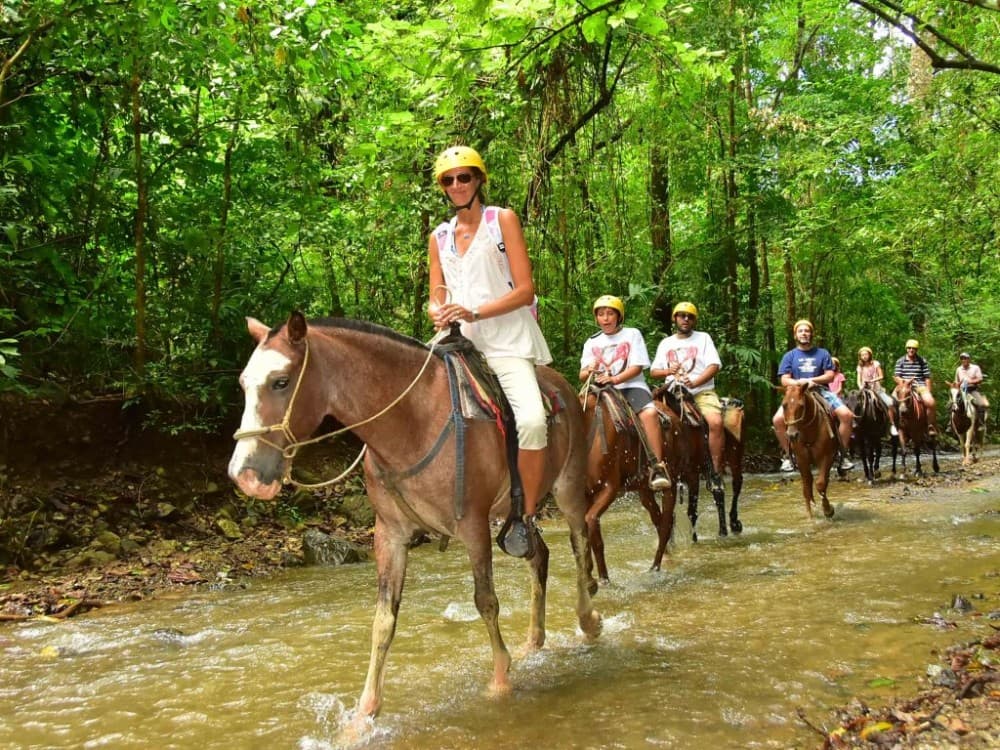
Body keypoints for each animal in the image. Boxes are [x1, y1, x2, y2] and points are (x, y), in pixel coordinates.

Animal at [228, 313, 601, 725]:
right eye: (243, 383)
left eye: (280, 381)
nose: (244, 475)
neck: (413, 423)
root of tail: (561, 384)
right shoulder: (389, 535)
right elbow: (383, 620)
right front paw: (364, 713)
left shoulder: (473, 526)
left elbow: (486, 601)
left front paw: (500, 681)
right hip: (515, 514)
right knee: (538, 556)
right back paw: (533, 642)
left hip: (568, 486)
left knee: (579, 543)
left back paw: (588, 621)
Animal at [780, 383, 842, 518]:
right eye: (784, 405)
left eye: (801, 406)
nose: (792, 435)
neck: (809, 432)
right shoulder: (801, 460)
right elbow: (807, 489)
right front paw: (810, 516)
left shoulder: (827, 457)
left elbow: (821, 483)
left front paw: (828, 510)